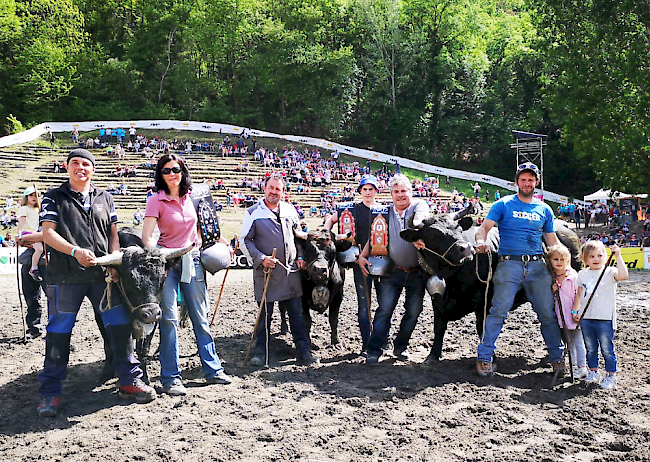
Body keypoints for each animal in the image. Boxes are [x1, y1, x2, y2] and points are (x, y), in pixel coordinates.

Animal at [400, 207, 576, 364]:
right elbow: (439, 328)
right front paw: (432, 356)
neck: (450, 277)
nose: (465, 249)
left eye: (458, 228)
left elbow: (483, 328)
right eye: (434, 234)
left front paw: (490, 359)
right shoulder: (437, 301)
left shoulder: (483, 300)